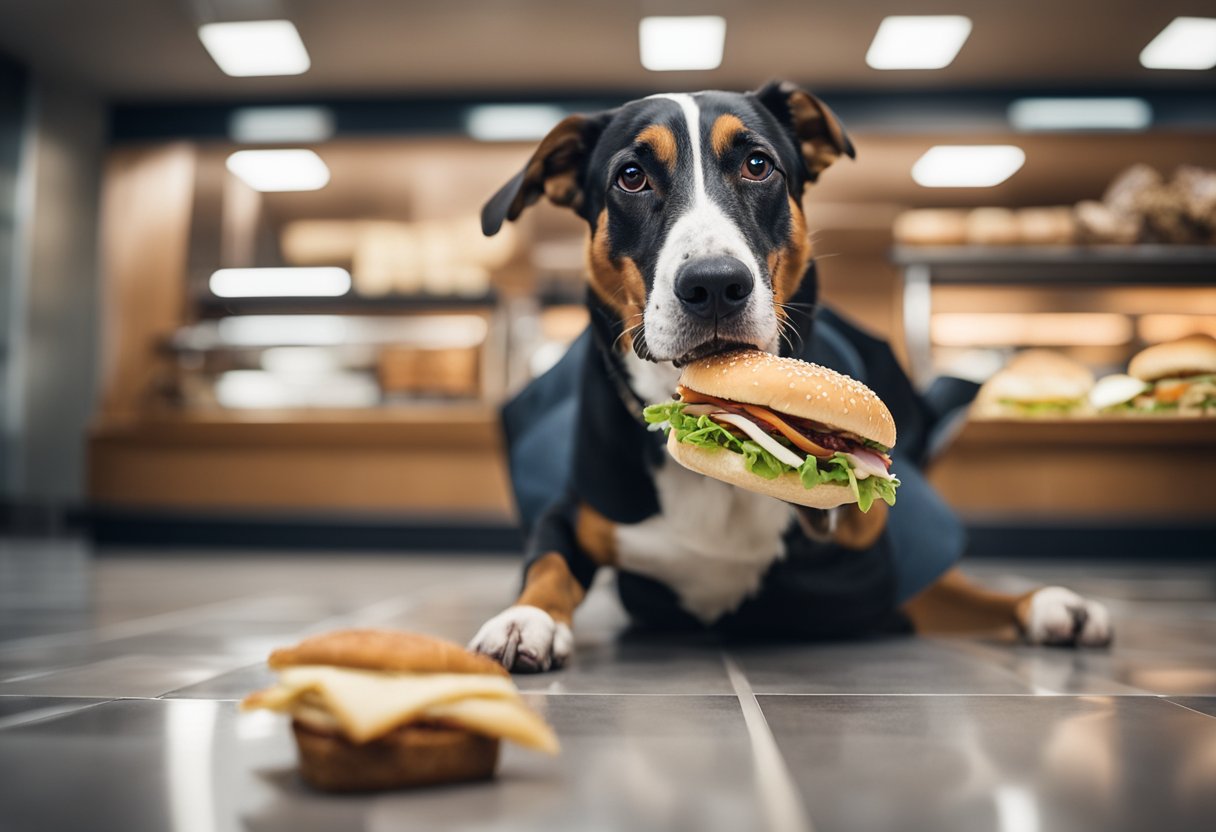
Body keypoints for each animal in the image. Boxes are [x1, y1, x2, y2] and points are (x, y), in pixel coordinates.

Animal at [464, 81, 1113, 671]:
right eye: (630, 176)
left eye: (758, 165)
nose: (715, 284)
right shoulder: (574, 512)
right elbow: (548, 562)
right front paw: (525, 619)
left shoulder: (881, 568)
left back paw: (1056, 606)